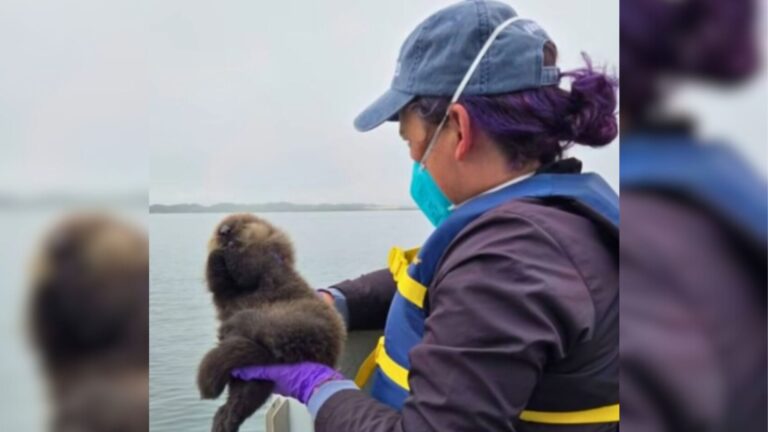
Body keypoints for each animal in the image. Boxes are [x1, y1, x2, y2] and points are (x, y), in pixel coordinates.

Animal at [197, 213, 346, 432]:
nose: (224, 231)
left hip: (299, 319)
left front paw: (229, 249)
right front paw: (217, 253)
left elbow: (248, 268)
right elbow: (217, 282)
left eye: (242, 223)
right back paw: (224, 420)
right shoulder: (226, 293)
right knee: (244, 395)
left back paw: (233, 325)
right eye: (219, 228)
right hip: (252, 377)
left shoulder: (267, 258)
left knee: (267, 328)